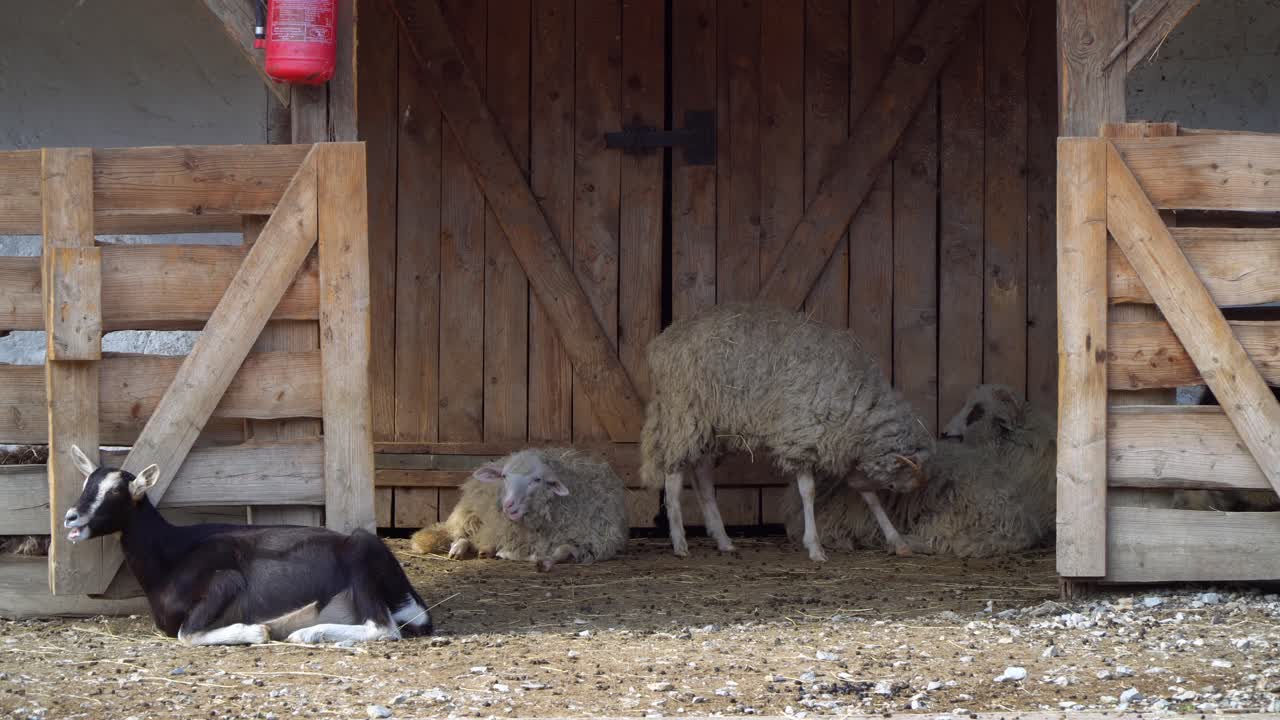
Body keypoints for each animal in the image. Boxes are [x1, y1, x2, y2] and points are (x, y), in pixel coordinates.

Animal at [62, 446, 433, 645]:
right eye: (86, 483)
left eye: (115, 491)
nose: (70, 517)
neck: (170, 554)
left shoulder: (224, 583)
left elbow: (187, 634)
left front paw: (257, 630)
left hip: (360, 560)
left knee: (383, 628)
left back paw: (306, 634)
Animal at [411, 447, 628, 571]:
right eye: (505, 476)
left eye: (537, 479)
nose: (508, 505)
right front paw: (507, 553)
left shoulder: (595, 543)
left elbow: (561, 549)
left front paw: (542, 561)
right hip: (470, 513)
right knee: (462, 534)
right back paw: (459, 549)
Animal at [639, 302, 934, 562]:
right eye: (901, 479)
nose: (921, 485)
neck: (858, 402)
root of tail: (662, 342)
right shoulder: (801, 437)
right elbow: (809, 492)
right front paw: (814, 547)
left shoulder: (843, 446)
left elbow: (871, 499)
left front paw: (898, 541)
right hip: (684, 414)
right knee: (673, 476)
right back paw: (679, 542)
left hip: (712, 426)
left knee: (702, 477)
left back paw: (723, 540)